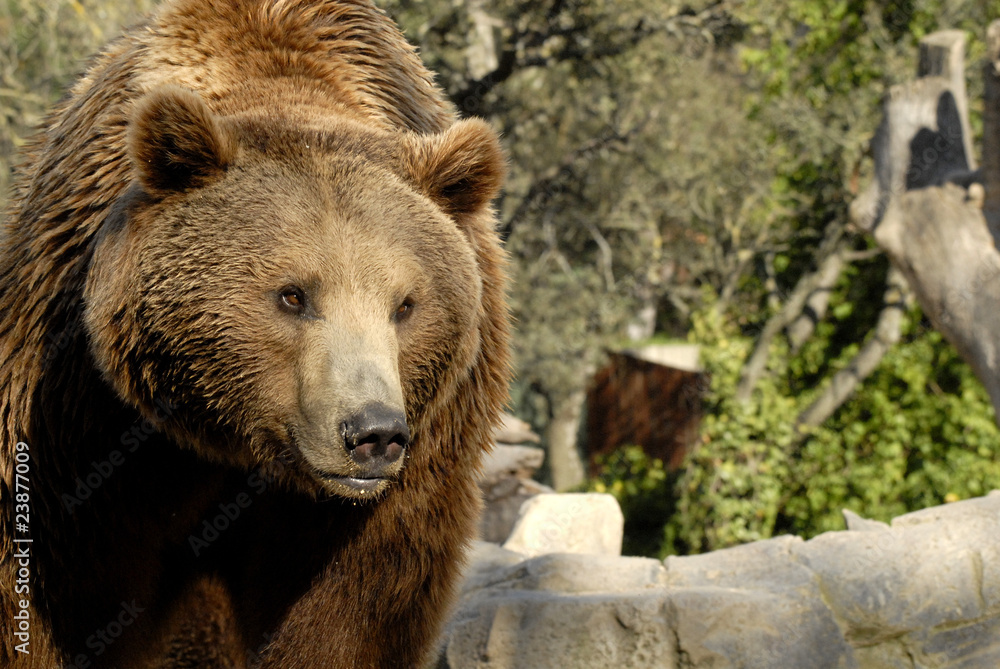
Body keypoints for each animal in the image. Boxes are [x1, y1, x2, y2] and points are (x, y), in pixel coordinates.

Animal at [0, 1, 509, 667]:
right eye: (292, 295)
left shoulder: (410, 471)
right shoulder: (80, 419)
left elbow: (353, 609)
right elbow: (66, 589)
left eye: (405, 304)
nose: (373, 434)